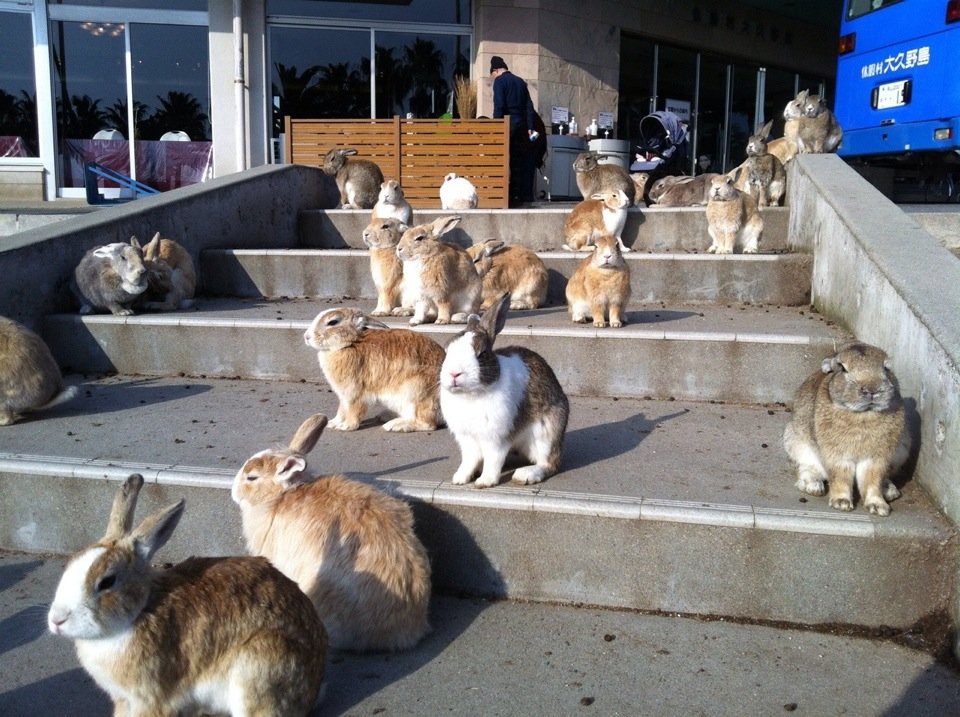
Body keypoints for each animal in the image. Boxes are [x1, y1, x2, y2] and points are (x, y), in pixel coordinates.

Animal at [48, 472, 326, 712]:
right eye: (71, 562)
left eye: (107, 582)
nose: (57, 620)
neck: (141, 610)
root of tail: (314, 685)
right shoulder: (123, 699)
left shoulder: (151, 699)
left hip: (259, 669)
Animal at [304, 306, 446, 430]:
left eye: (332, 322)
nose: (306, 337)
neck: (351, 343)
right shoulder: (343, 395)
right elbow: (342, 409)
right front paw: (332, 423)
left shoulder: (354, 391)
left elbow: (354, 409)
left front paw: (346, 426)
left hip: (416, 391)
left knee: (427, 423)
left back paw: (395, 425)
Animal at [442, 292, 568, 486]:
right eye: (447, 350)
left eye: (482, 354)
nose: (454, 373)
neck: (470, 395)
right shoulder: (467, 439)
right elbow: (468, 460)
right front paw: (459, 479)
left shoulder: (496, 439)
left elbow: (493, 460)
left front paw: (485, 482)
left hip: (547, 433)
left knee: (550, 463)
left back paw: (525, 475)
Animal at [784, 342, 912, 516]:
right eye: (842, 368)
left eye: (886, 368)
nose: (872, 389)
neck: (864, 414)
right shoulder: (837, 456)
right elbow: (841, 477)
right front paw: (841, 503)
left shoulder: (876, 459)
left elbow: (872, 481)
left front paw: (879, 507)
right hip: (796, 441)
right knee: (806, 467)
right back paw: (813, 486)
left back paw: (889, 490)